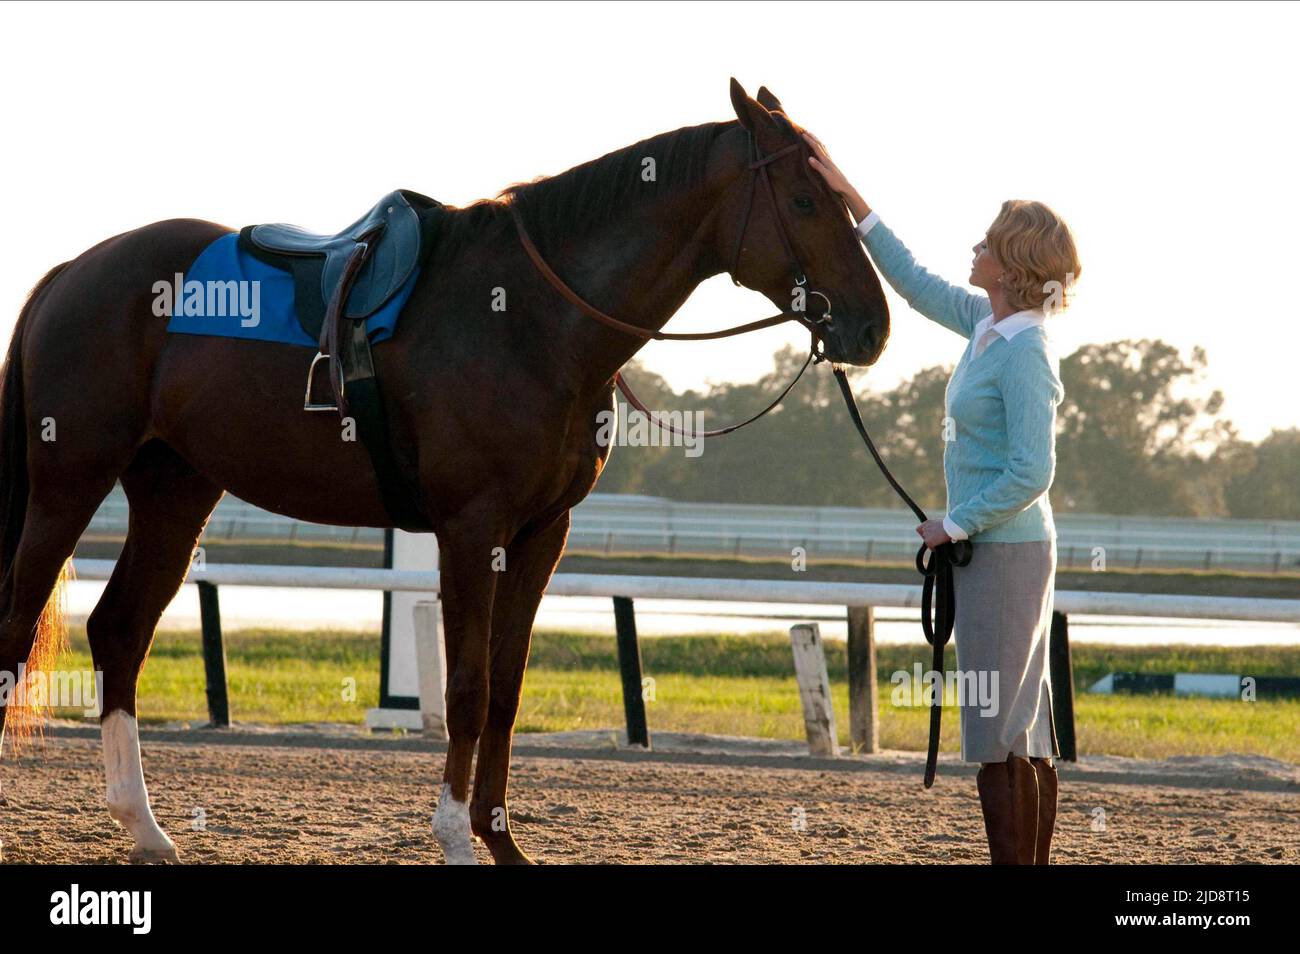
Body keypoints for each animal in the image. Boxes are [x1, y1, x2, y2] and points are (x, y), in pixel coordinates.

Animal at [0, 83, 889, 868]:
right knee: (18, 625)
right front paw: (458, 837)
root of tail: (75, 269)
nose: (873, 327)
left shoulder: (541, 534)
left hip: (175, 490)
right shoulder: (472, 528)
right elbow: (465, 688)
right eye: (804, 200)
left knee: (120, 632)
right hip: (68, 484)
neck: (532, 317)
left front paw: (502, 840)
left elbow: (504, 688)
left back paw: (146, 827)